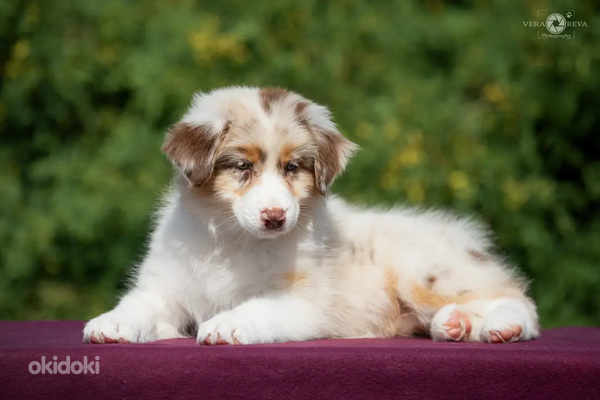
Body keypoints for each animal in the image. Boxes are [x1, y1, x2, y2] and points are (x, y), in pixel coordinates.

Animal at [83, 86, 540, 344]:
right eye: (242, 167)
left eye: (292, 168)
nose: (275, 217)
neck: (234, 240)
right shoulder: (165, 288)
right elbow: (138, 305)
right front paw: (110, 324)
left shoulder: (304, 301)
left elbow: (258, 308)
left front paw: (227, 326)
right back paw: (454, 325)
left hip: (426, 270)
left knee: (516, 298)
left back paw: (504, 328)